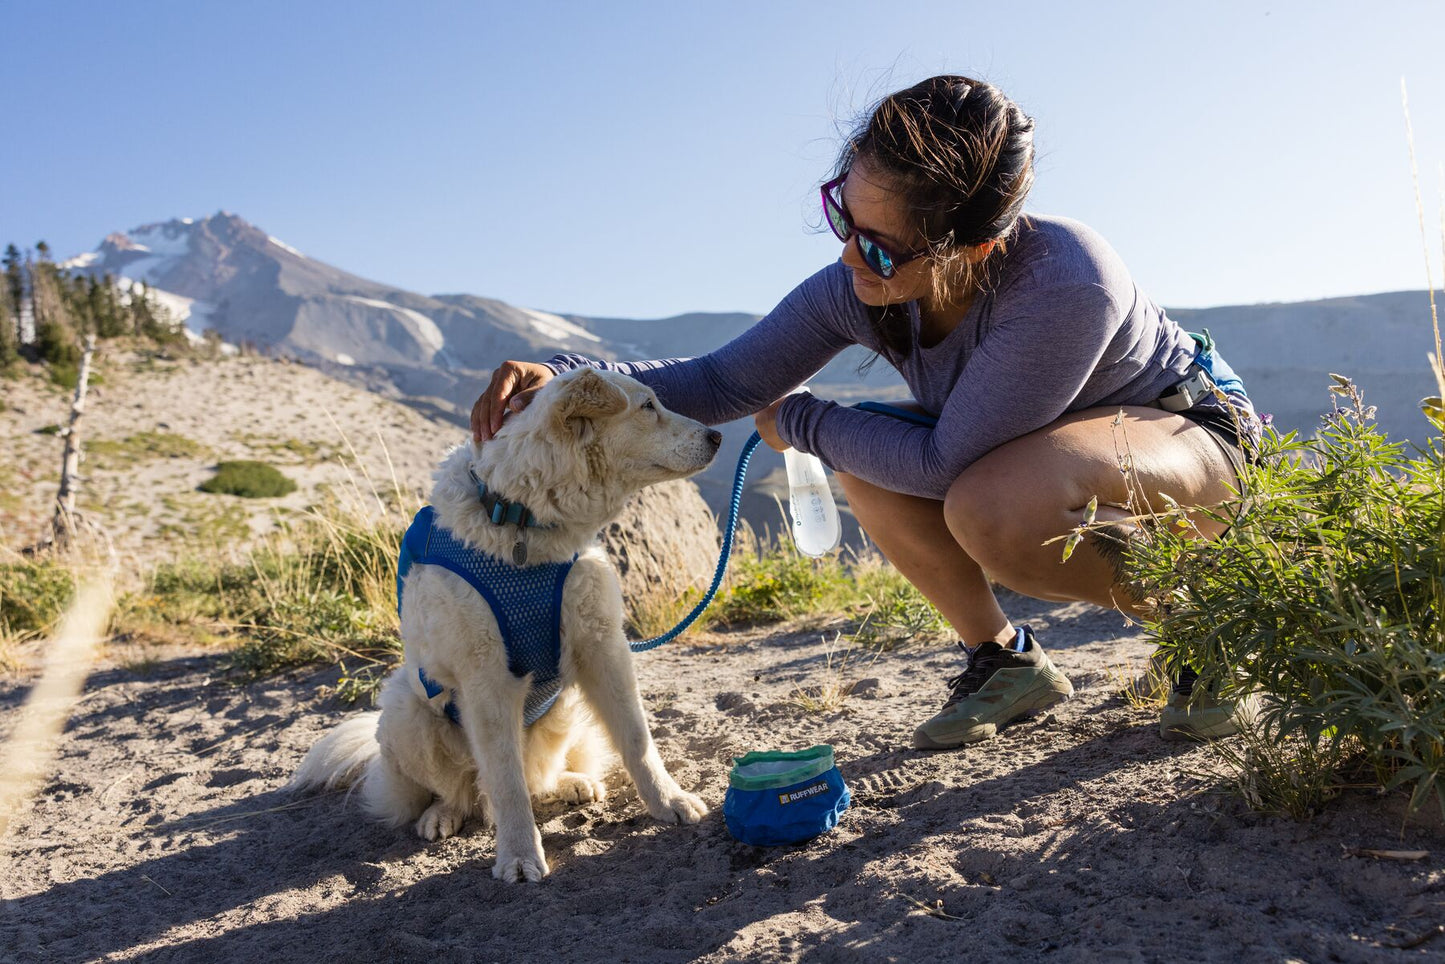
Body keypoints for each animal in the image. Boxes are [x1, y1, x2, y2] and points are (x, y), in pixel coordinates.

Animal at [290, 369, 719, 884]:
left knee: (536, 778)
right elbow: (505, 779)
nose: (717, 436)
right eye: (648, 407)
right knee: (468, 790)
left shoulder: (602, 649)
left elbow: (637, 740)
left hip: (564, 711)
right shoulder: (487, 678)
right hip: (404, 713)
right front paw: (518, 855)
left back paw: (573, 784)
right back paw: (441, 815)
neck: (522, 523)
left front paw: (669, 801)